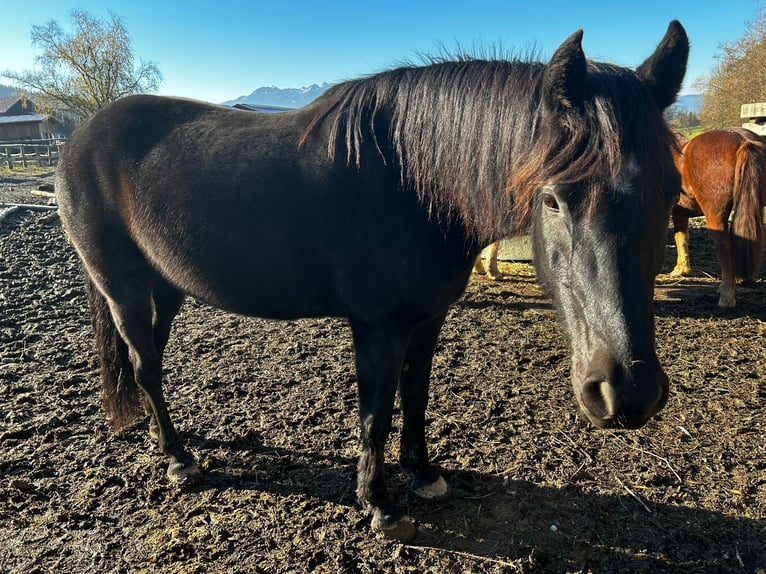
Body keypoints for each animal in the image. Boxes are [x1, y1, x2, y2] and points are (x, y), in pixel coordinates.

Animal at [54, 22, 688, 544]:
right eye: (554, 198)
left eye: (672, 189)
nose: (627, 393)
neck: (413, 181)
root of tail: (79, 137)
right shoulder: (378, 327)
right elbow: (376, 411)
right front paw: (379, 504)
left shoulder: (428, 318)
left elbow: (416, 395)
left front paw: (424, 473)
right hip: (122, 287)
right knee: (144, 364)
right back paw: (179, 457)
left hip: (167, 287)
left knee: (152, 362)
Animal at [676, 128, 764, 308]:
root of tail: (744, 140)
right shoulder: (680, 213)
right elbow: (681, 238)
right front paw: (681, 269)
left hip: (715, 215)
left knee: (724, 246)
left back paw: (726, 296)